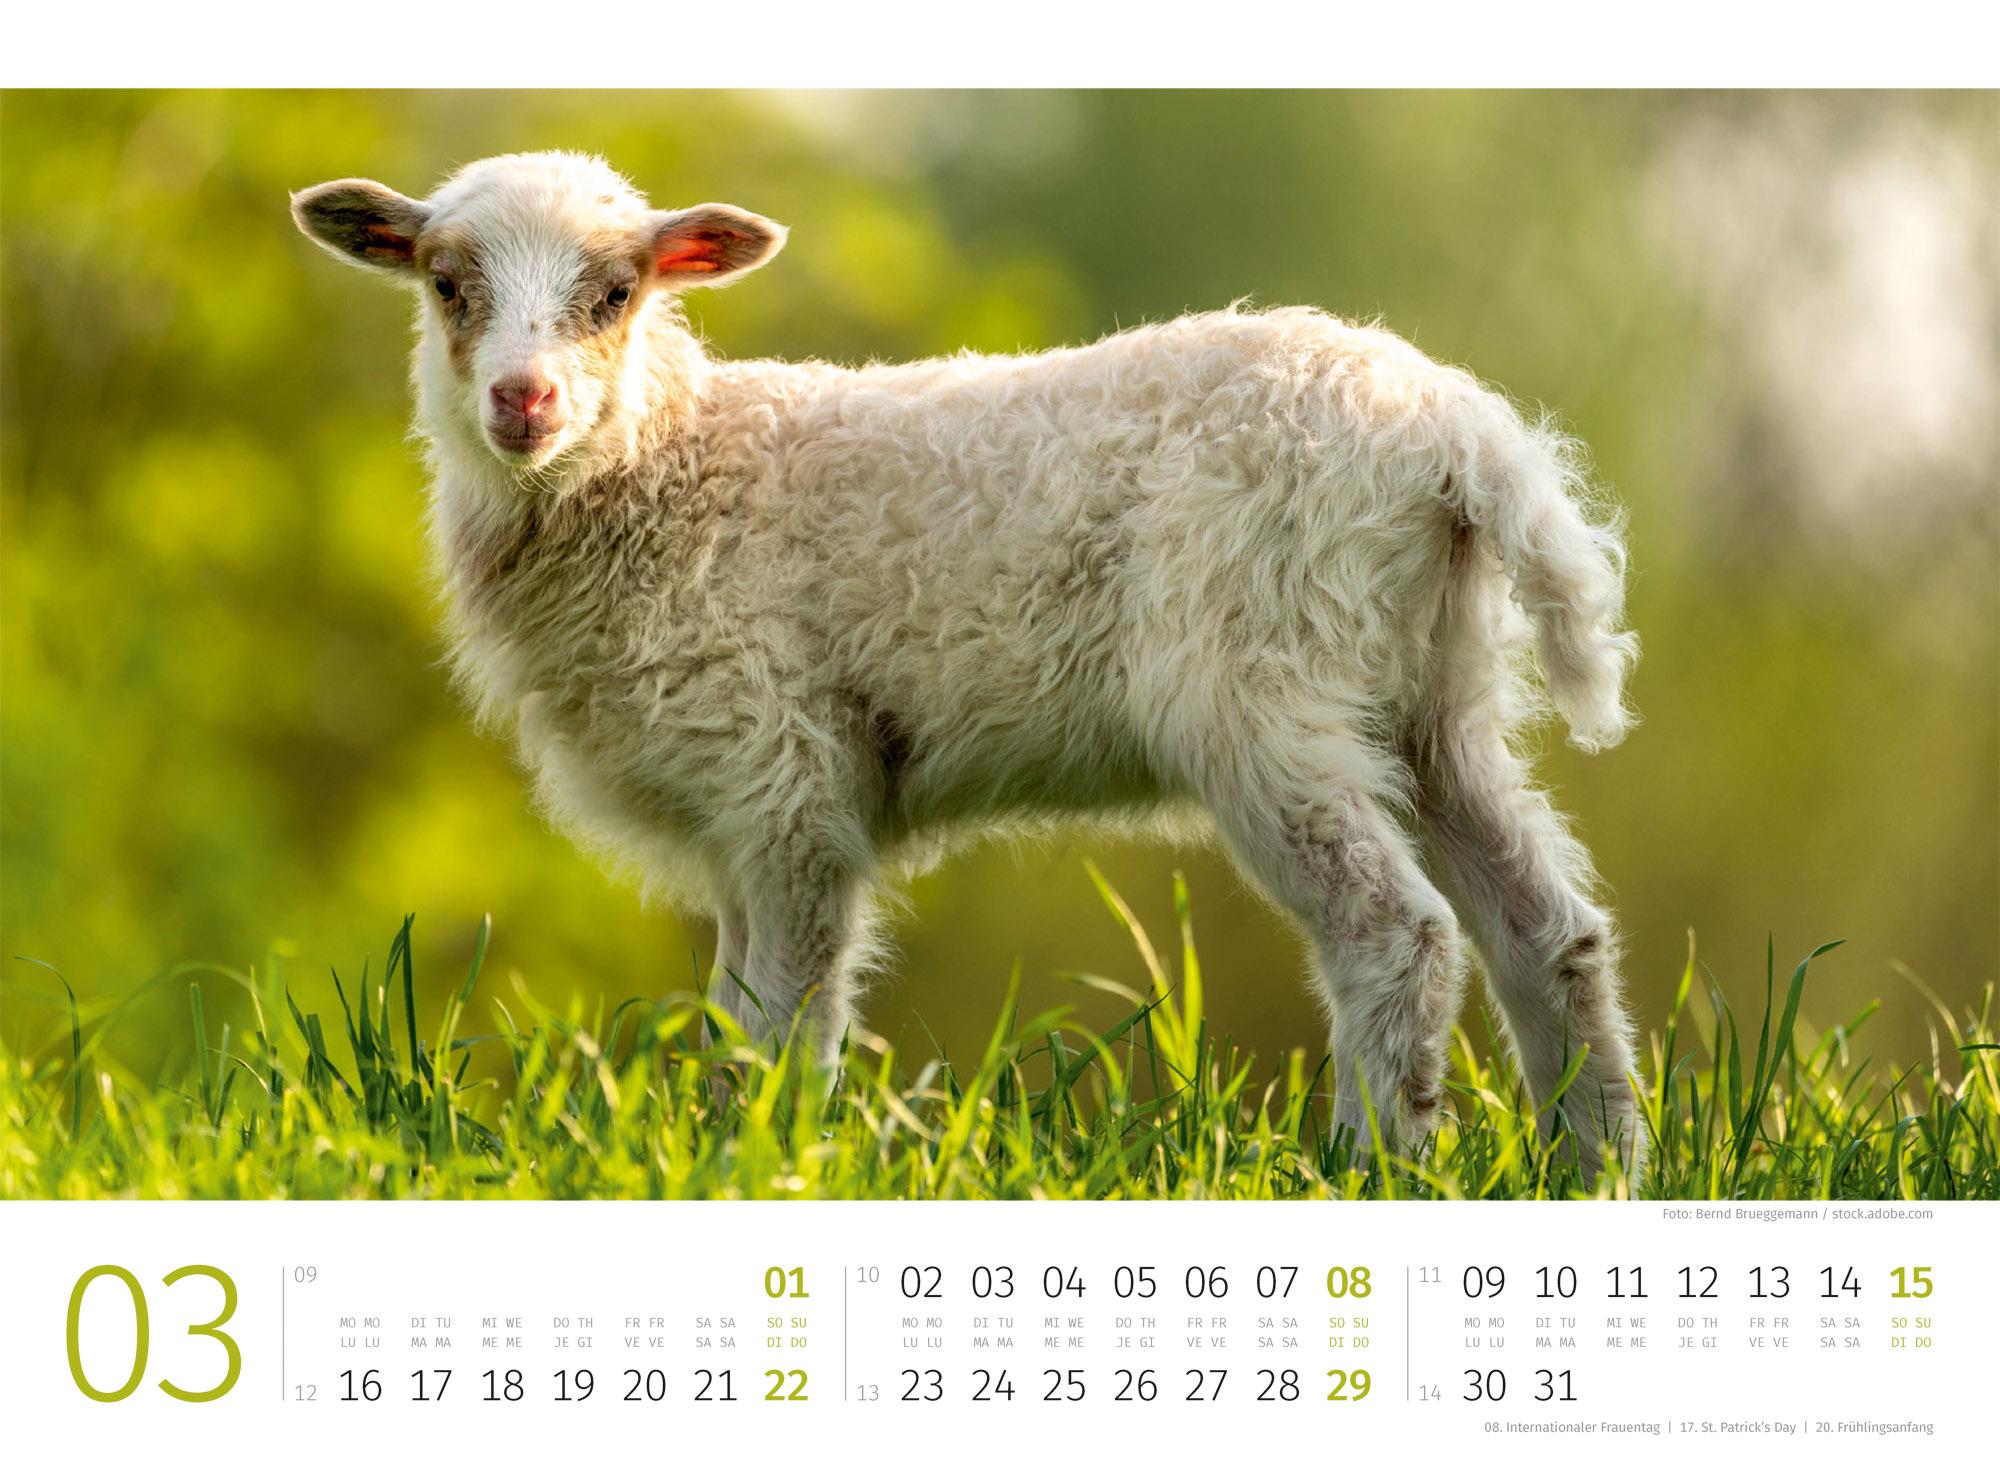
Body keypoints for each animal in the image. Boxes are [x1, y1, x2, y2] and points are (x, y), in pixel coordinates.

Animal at [292, 150, 1645, 1179]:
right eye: (446, 285)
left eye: (615, 291)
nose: (522, 402)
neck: (669, 469)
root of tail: (1455, 433)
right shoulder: (734, 808)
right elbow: (732, 1016)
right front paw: (727, 1149)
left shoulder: (785, 775)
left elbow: (784, 1017)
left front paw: (769, 1165)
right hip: (1429, 691)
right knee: (1547, 930)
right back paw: (1595, 1168)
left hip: (1262, 681)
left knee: (1395, 933)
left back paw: (1369, 1168)